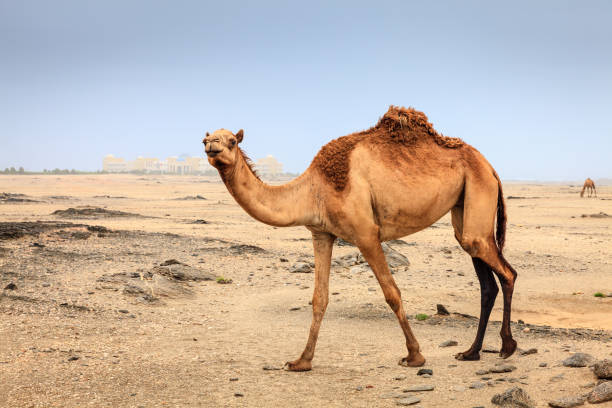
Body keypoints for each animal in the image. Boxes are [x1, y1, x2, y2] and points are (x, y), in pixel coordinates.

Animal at [204, 107, 516, 372]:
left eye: (232, 141)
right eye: (206, 138)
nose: (211, 145)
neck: (313, 189)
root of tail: (490, 167)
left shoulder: (366, 234)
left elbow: (392, 293)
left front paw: (414, 356)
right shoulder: (321, 233)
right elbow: (319, 298)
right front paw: (301, 361)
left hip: (478, 189)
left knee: (507, 272)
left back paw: (507, 347)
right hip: (465, 208)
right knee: (484, 276)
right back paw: (471, 352)